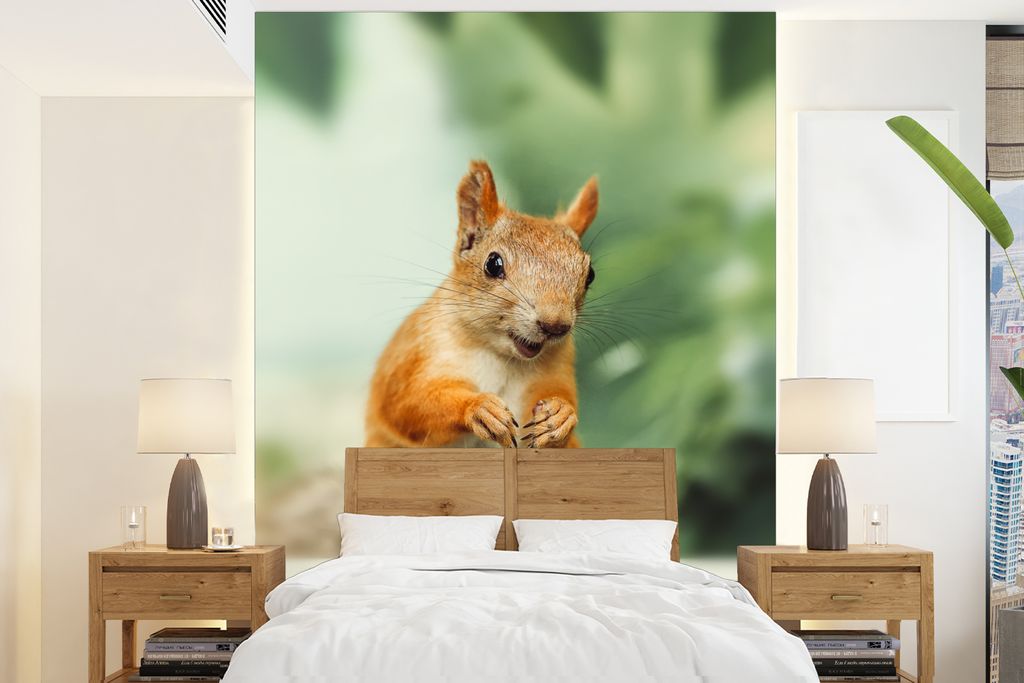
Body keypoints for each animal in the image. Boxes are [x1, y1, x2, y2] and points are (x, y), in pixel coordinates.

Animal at [365, 160, 598, 449]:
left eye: (590, 275)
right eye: (493, 264)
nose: (555, 325)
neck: (503, 357)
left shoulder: (557, 370)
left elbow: (563, 403)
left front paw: (561, 414)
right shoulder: (416, 354)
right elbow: (407, 405)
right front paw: (478, 407)